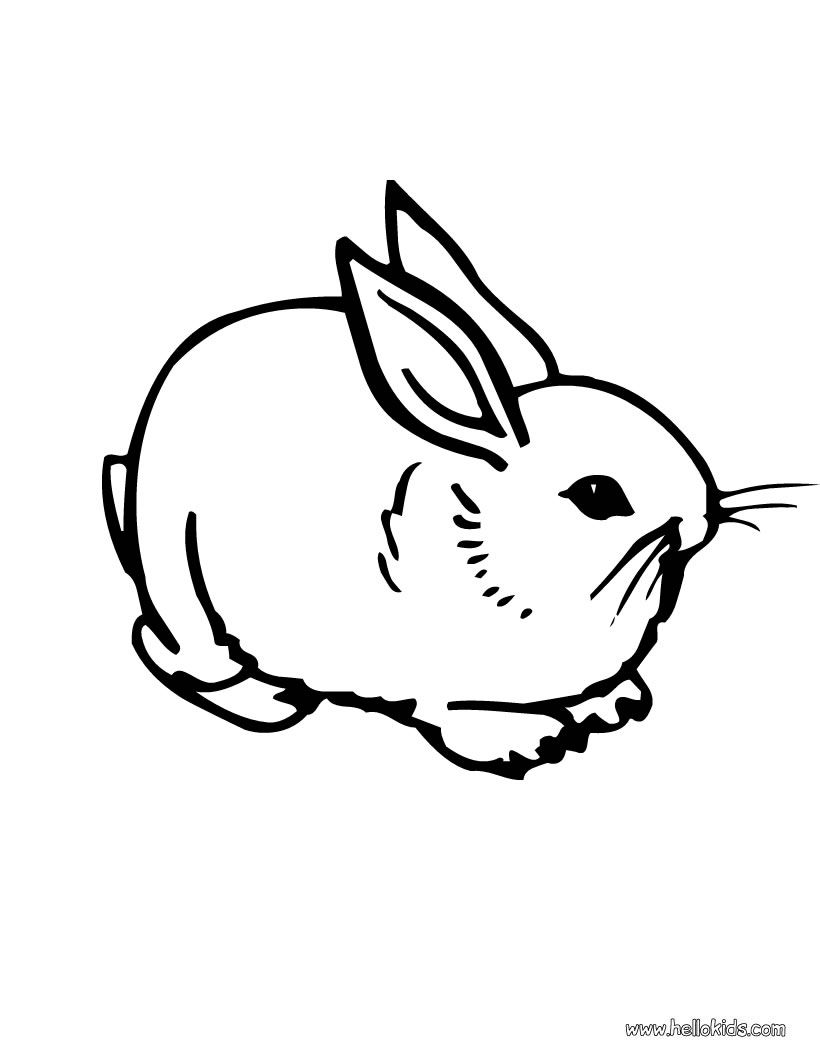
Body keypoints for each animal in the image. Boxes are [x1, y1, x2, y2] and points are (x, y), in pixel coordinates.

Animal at [103, 182, 807, 778]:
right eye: (597, 495)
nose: (700, 519)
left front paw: (613, 703)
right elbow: (447, 709)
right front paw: (527, 740)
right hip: (174, 566)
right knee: (176, 650)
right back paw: (263, 697)